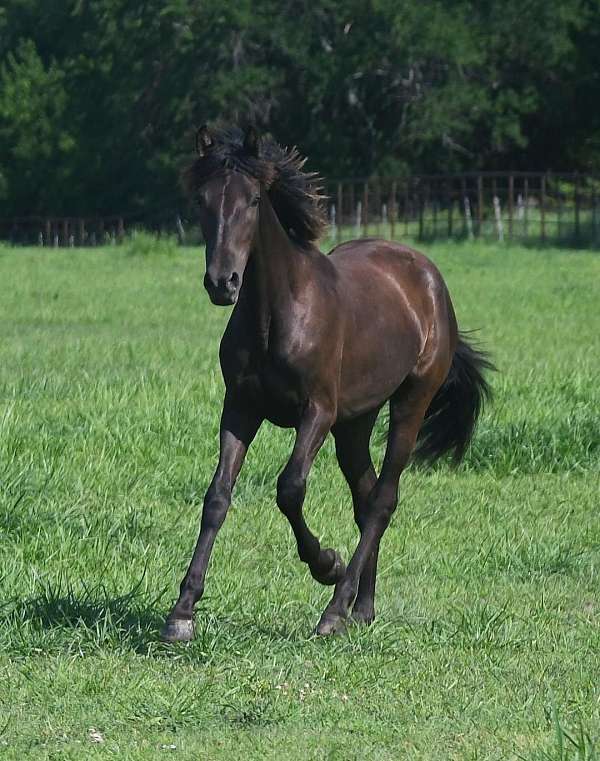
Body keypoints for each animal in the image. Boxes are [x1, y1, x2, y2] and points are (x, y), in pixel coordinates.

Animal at [161, 124, 493, 641]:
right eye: (202, 199)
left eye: (253, 199)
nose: (222, 282)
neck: (276, 313)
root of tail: (427, 276)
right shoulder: (241, 407)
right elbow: (217, 495)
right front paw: (183, 611)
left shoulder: (316, 410)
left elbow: (289, 488)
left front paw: (327, 564)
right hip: (354, 423)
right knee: (366, 495)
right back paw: (363, 608)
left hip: (409, 402)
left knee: (383, 499)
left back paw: (336, 608)